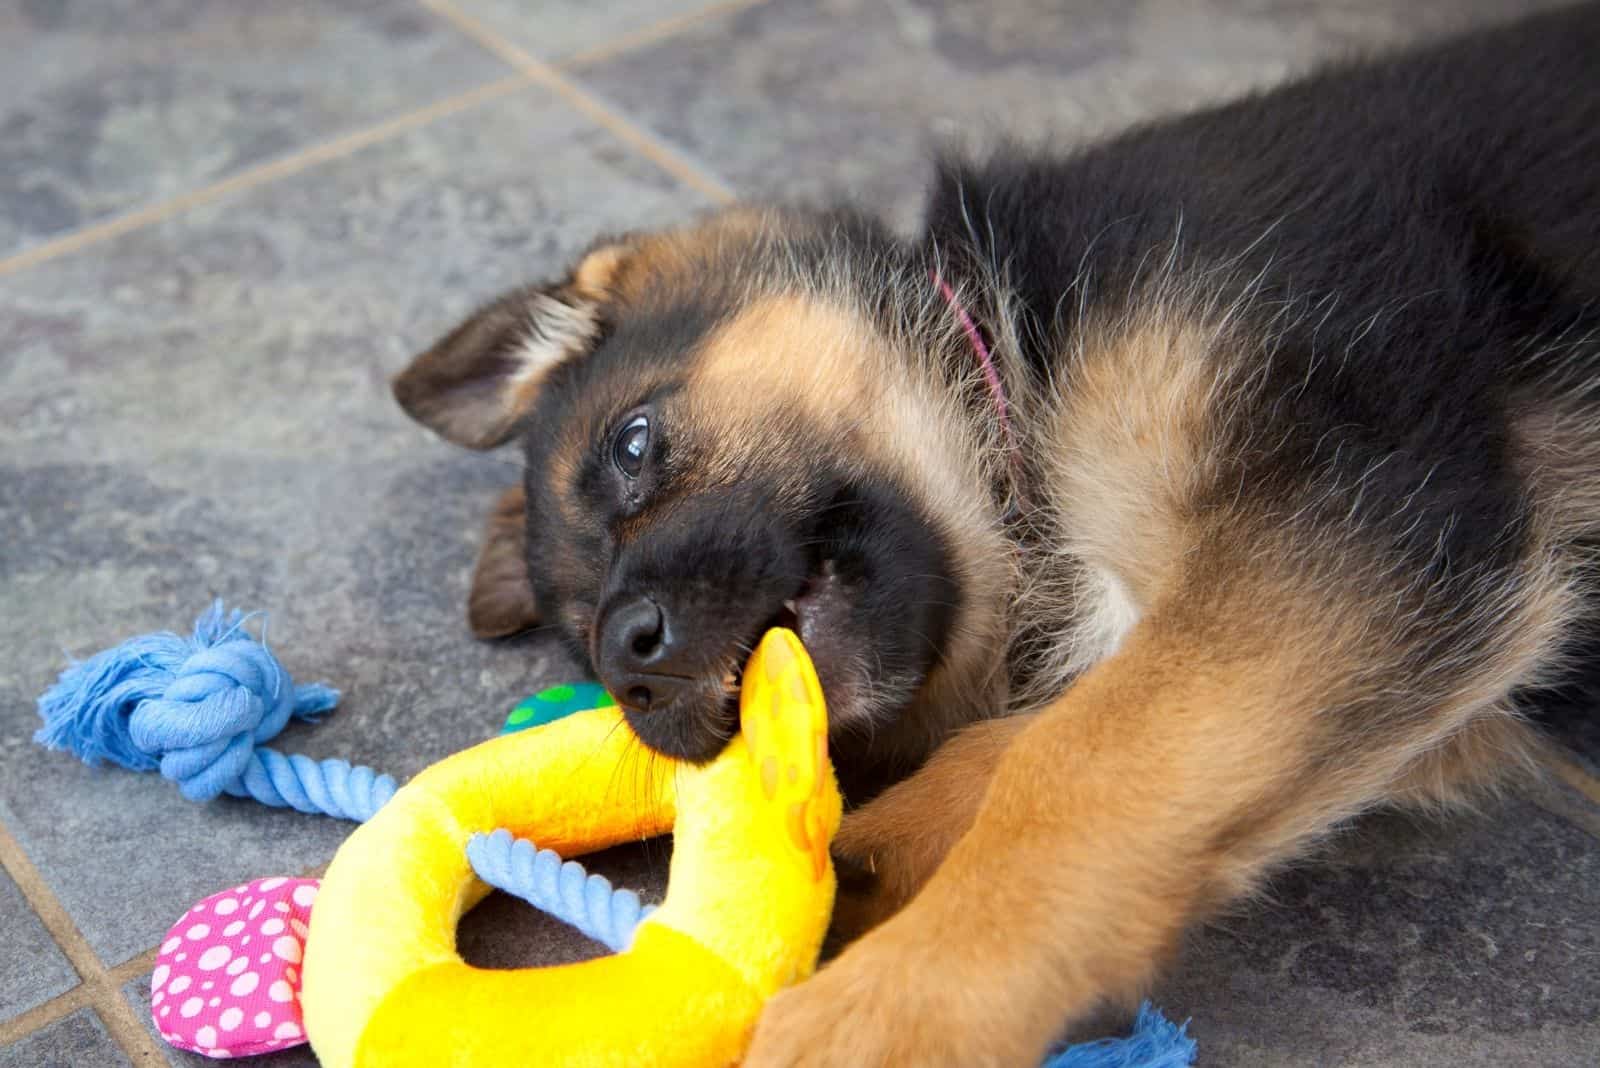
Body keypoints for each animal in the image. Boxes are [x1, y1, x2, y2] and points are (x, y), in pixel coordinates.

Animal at [393, 4, 1593, 1061]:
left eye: (633, 443)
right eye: (583, 647)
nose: (632, 668)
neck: (1013, 370)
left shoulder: (1351, 524)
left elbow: (1087, 761)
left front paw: (893, 1008)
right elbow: (1052, 732)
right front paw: (869, 861)